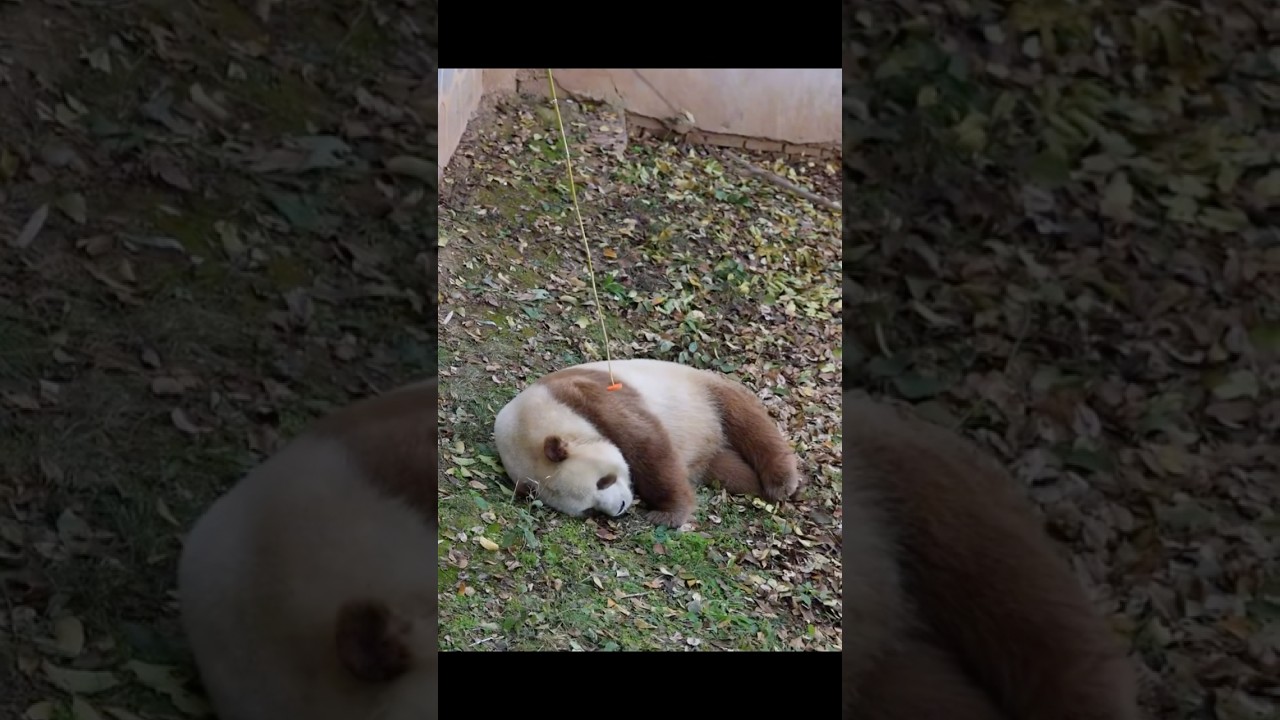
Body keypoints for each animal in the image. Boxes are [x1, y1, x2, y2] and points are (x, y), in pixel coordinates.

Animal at [492, 358, 803, 528]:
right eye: (588, 509)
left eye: (602, 482)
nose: (619, 507)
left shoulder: (585, 396)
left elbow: (646, 445)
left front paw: (666, 514)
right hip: (709, 457)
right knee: (731, 471)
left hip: (702, 394)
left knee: (746, 421)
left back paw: (782, 482)